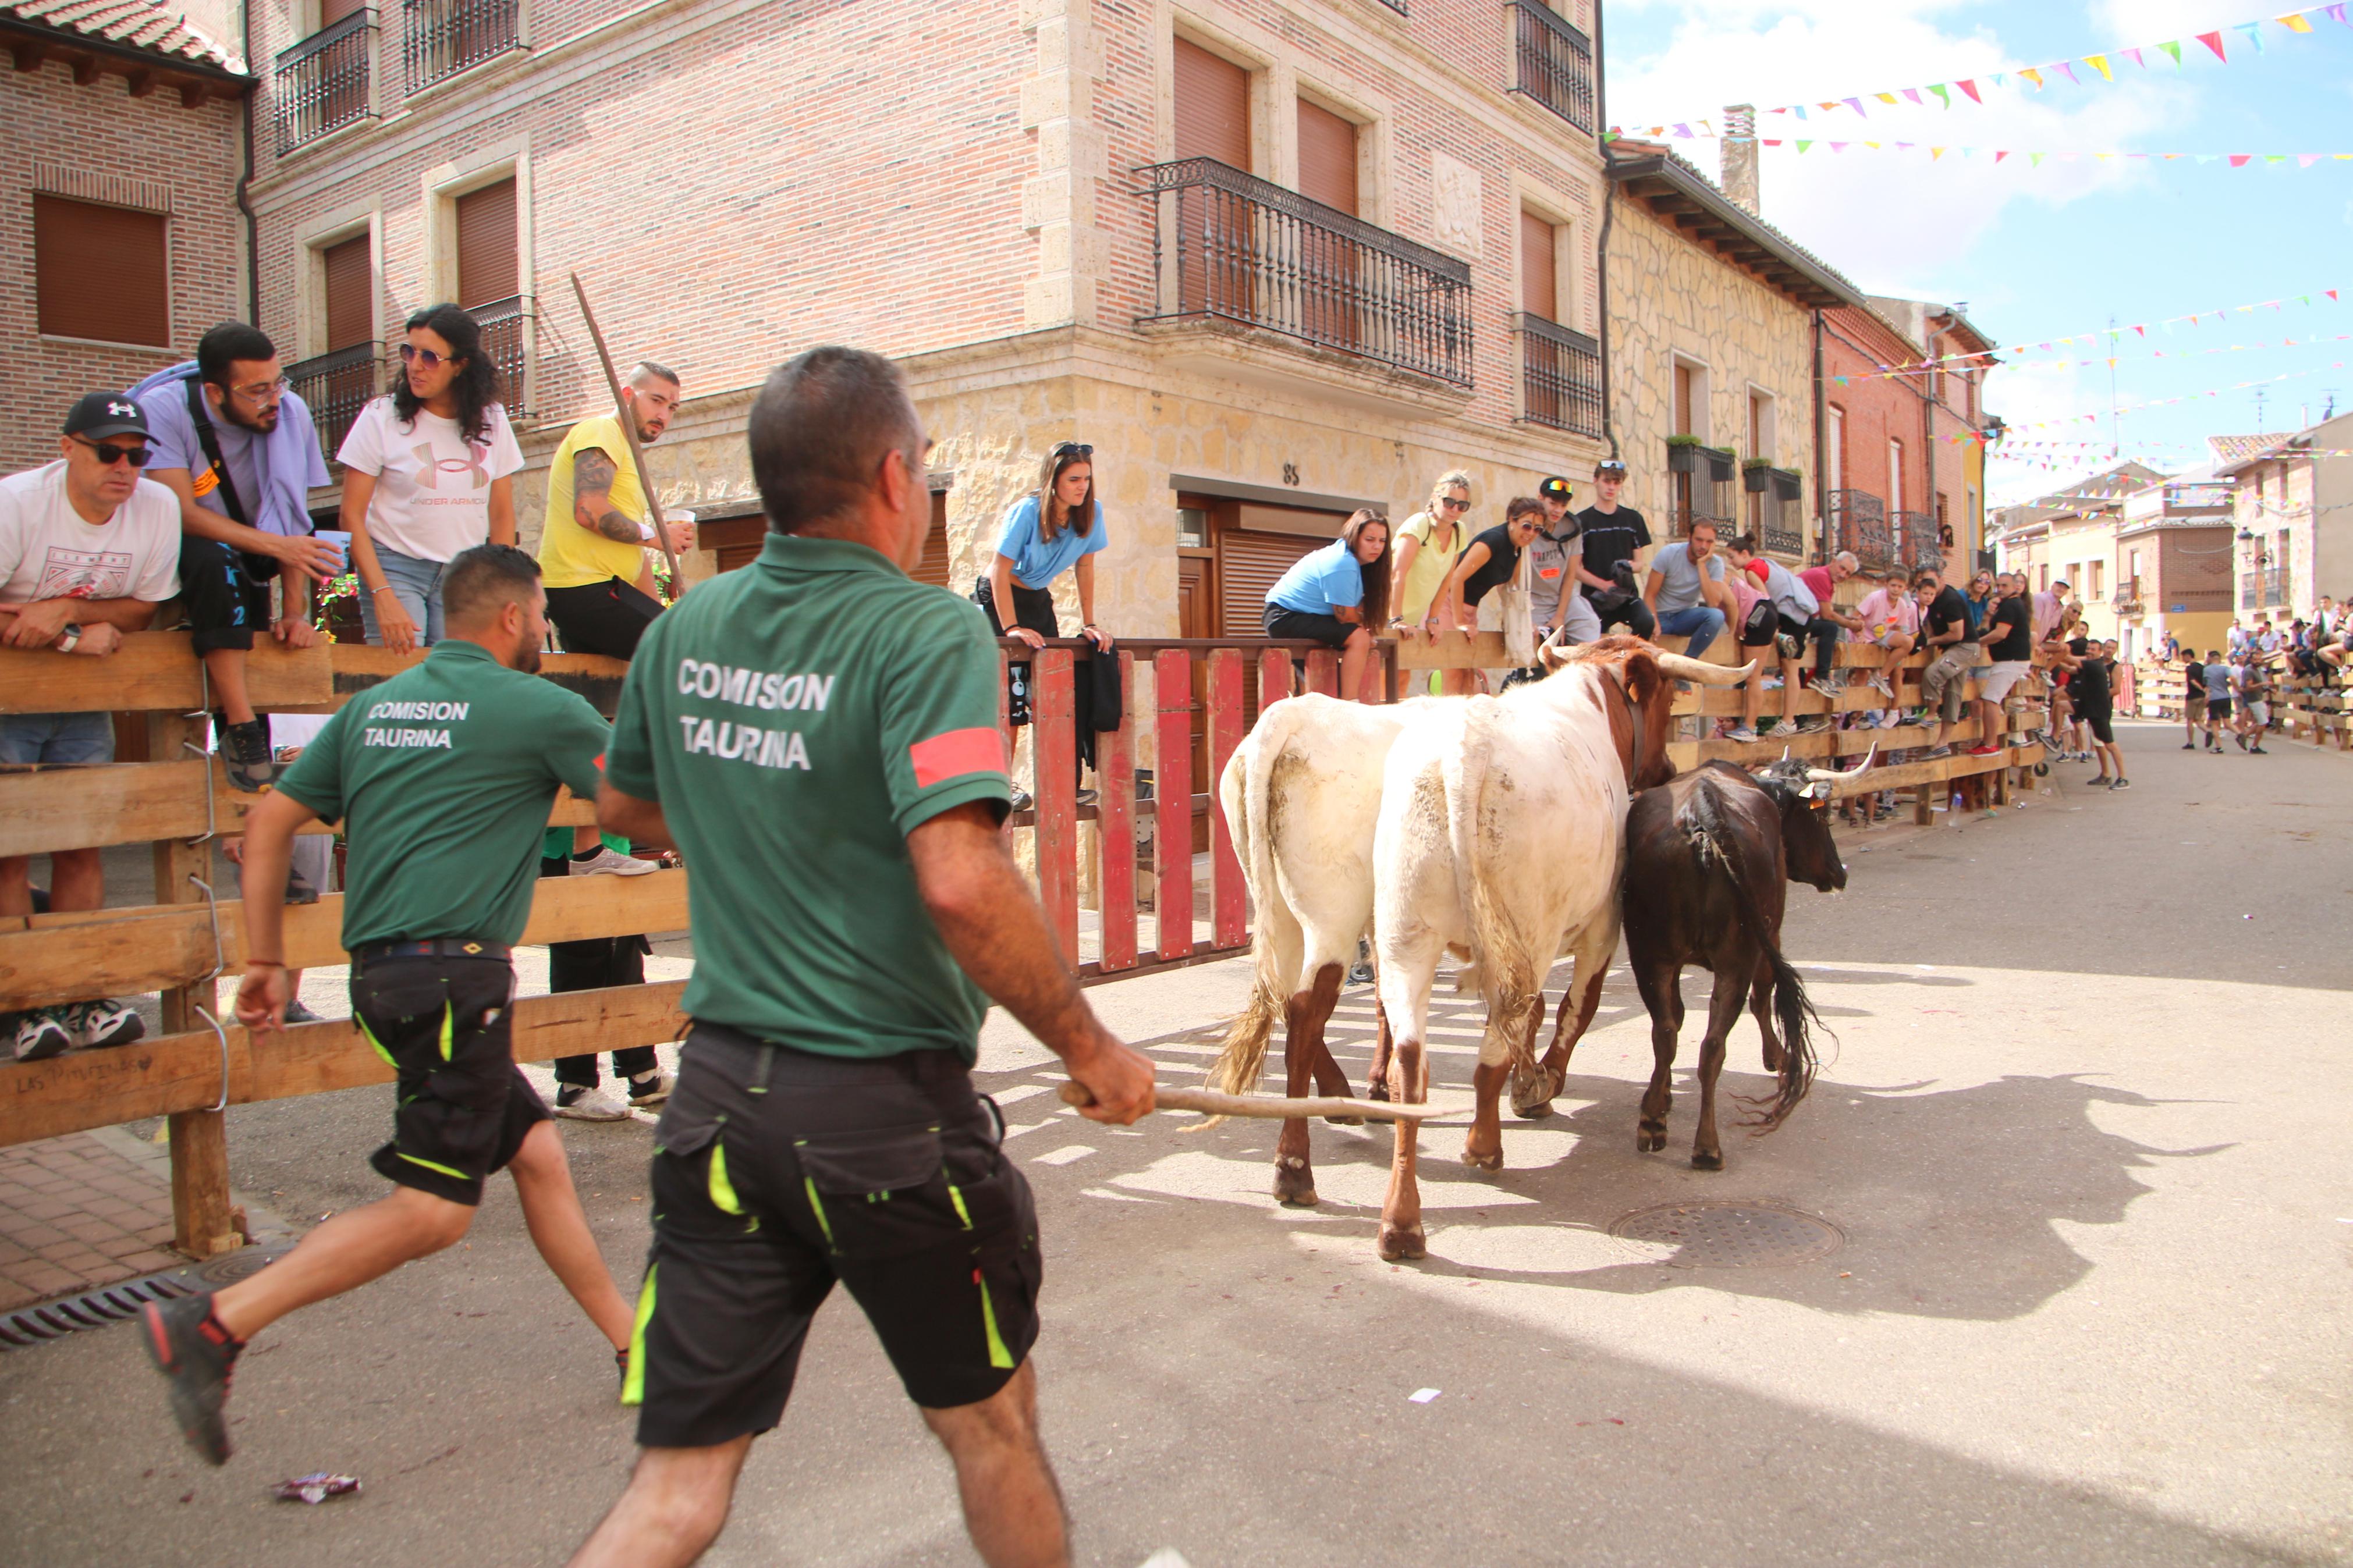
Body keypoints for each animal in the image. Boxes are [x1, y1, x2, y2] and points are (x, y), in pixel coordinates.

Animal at [1364, 639, 1750, 1260]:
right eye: (1668, 700)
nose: (1666, 771)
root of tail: (1464, 753)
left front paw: (1532, 1084)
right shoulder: (1603, 925)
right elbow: (1578, 1006)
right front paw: (1539, 1086)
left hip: (1405, 936)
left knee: (1412, 1064)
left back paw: (1401, 1222)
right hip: (1528, 930)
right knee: (1497, 1042)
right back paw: (1484, 1145)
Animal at [1619, 752, 1854, 1171]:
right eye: (1823, 814)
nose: (1838, 873)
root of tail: (1702, 813)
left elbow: (1677, 1017)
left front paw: (1662, 1097)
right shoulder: (1770, 936)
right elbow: (1762, 999)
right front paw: (1776, 1057)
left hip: (1651, 956)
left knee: (1667, 1032)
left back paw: (1653, 1124)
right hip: (1737, 958)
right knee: (1714, 1043)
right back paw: (1707, 1146)